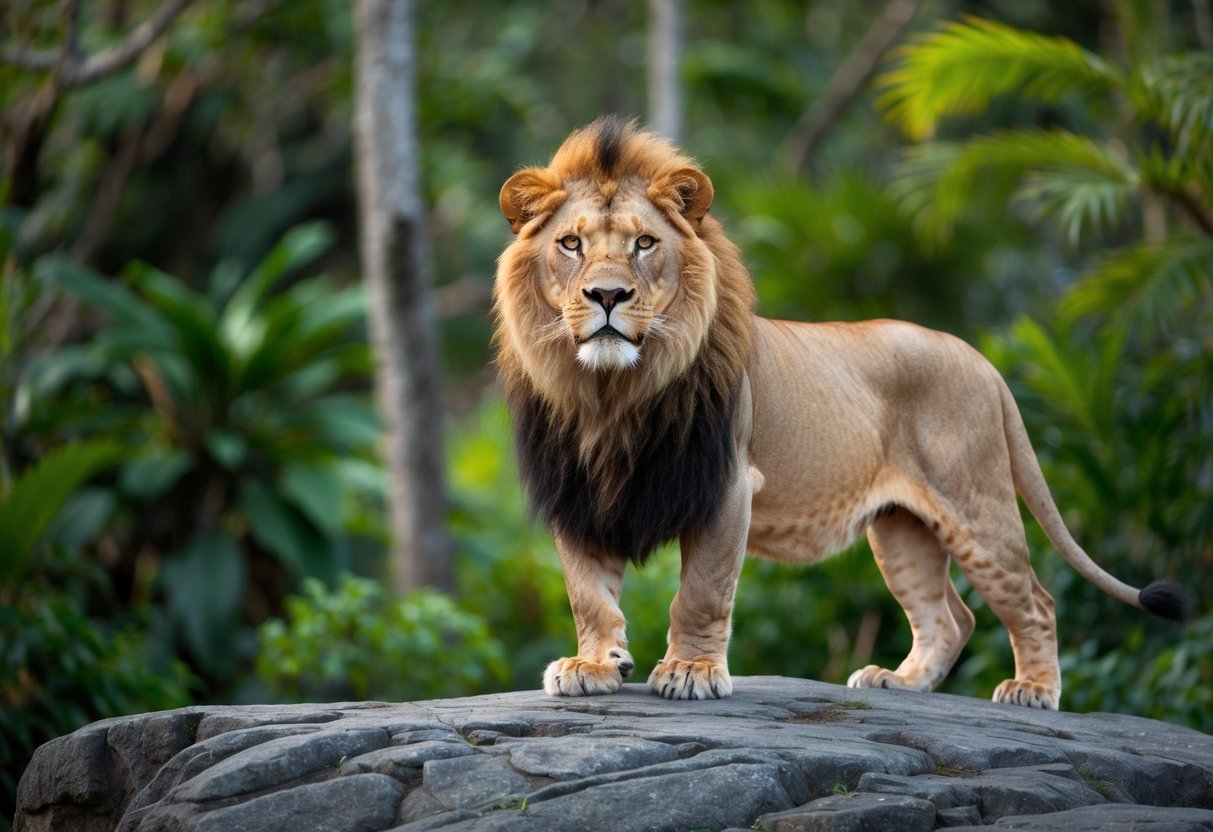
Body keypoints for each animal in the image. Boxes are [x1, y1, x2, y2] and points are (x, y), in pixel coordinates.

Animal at [490, 114, 1183, 708]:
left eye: (644, 243)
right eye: (571, 243)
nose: (607, 295)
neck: (611, 394)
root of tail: (977, 356)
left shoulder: (727, 484)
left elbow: (702, 592)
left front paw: (690, 671)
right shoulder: (575, 489)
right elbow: (589, 594)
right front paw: (593, 665)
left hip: (975, 504)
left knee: (1035, 600)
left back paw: (1034, 690)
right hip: (902, 528)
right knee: (950, 616)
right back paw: (898, 682)